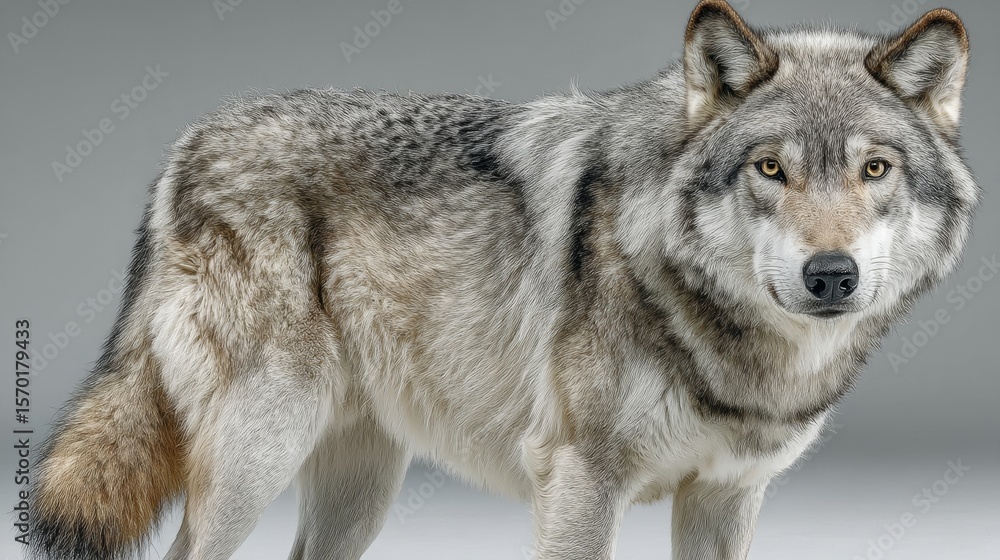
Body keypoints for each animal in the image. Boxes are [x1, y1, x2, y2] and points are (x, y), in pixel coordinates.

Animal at [28, 1, 978, 559]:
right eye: (772, 169)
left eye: (876, 169)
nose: (831, 275)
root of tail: (187, 144)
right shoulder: (580, 484)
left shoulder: (726, 498)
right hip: (255, 457)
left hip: (357, 488)